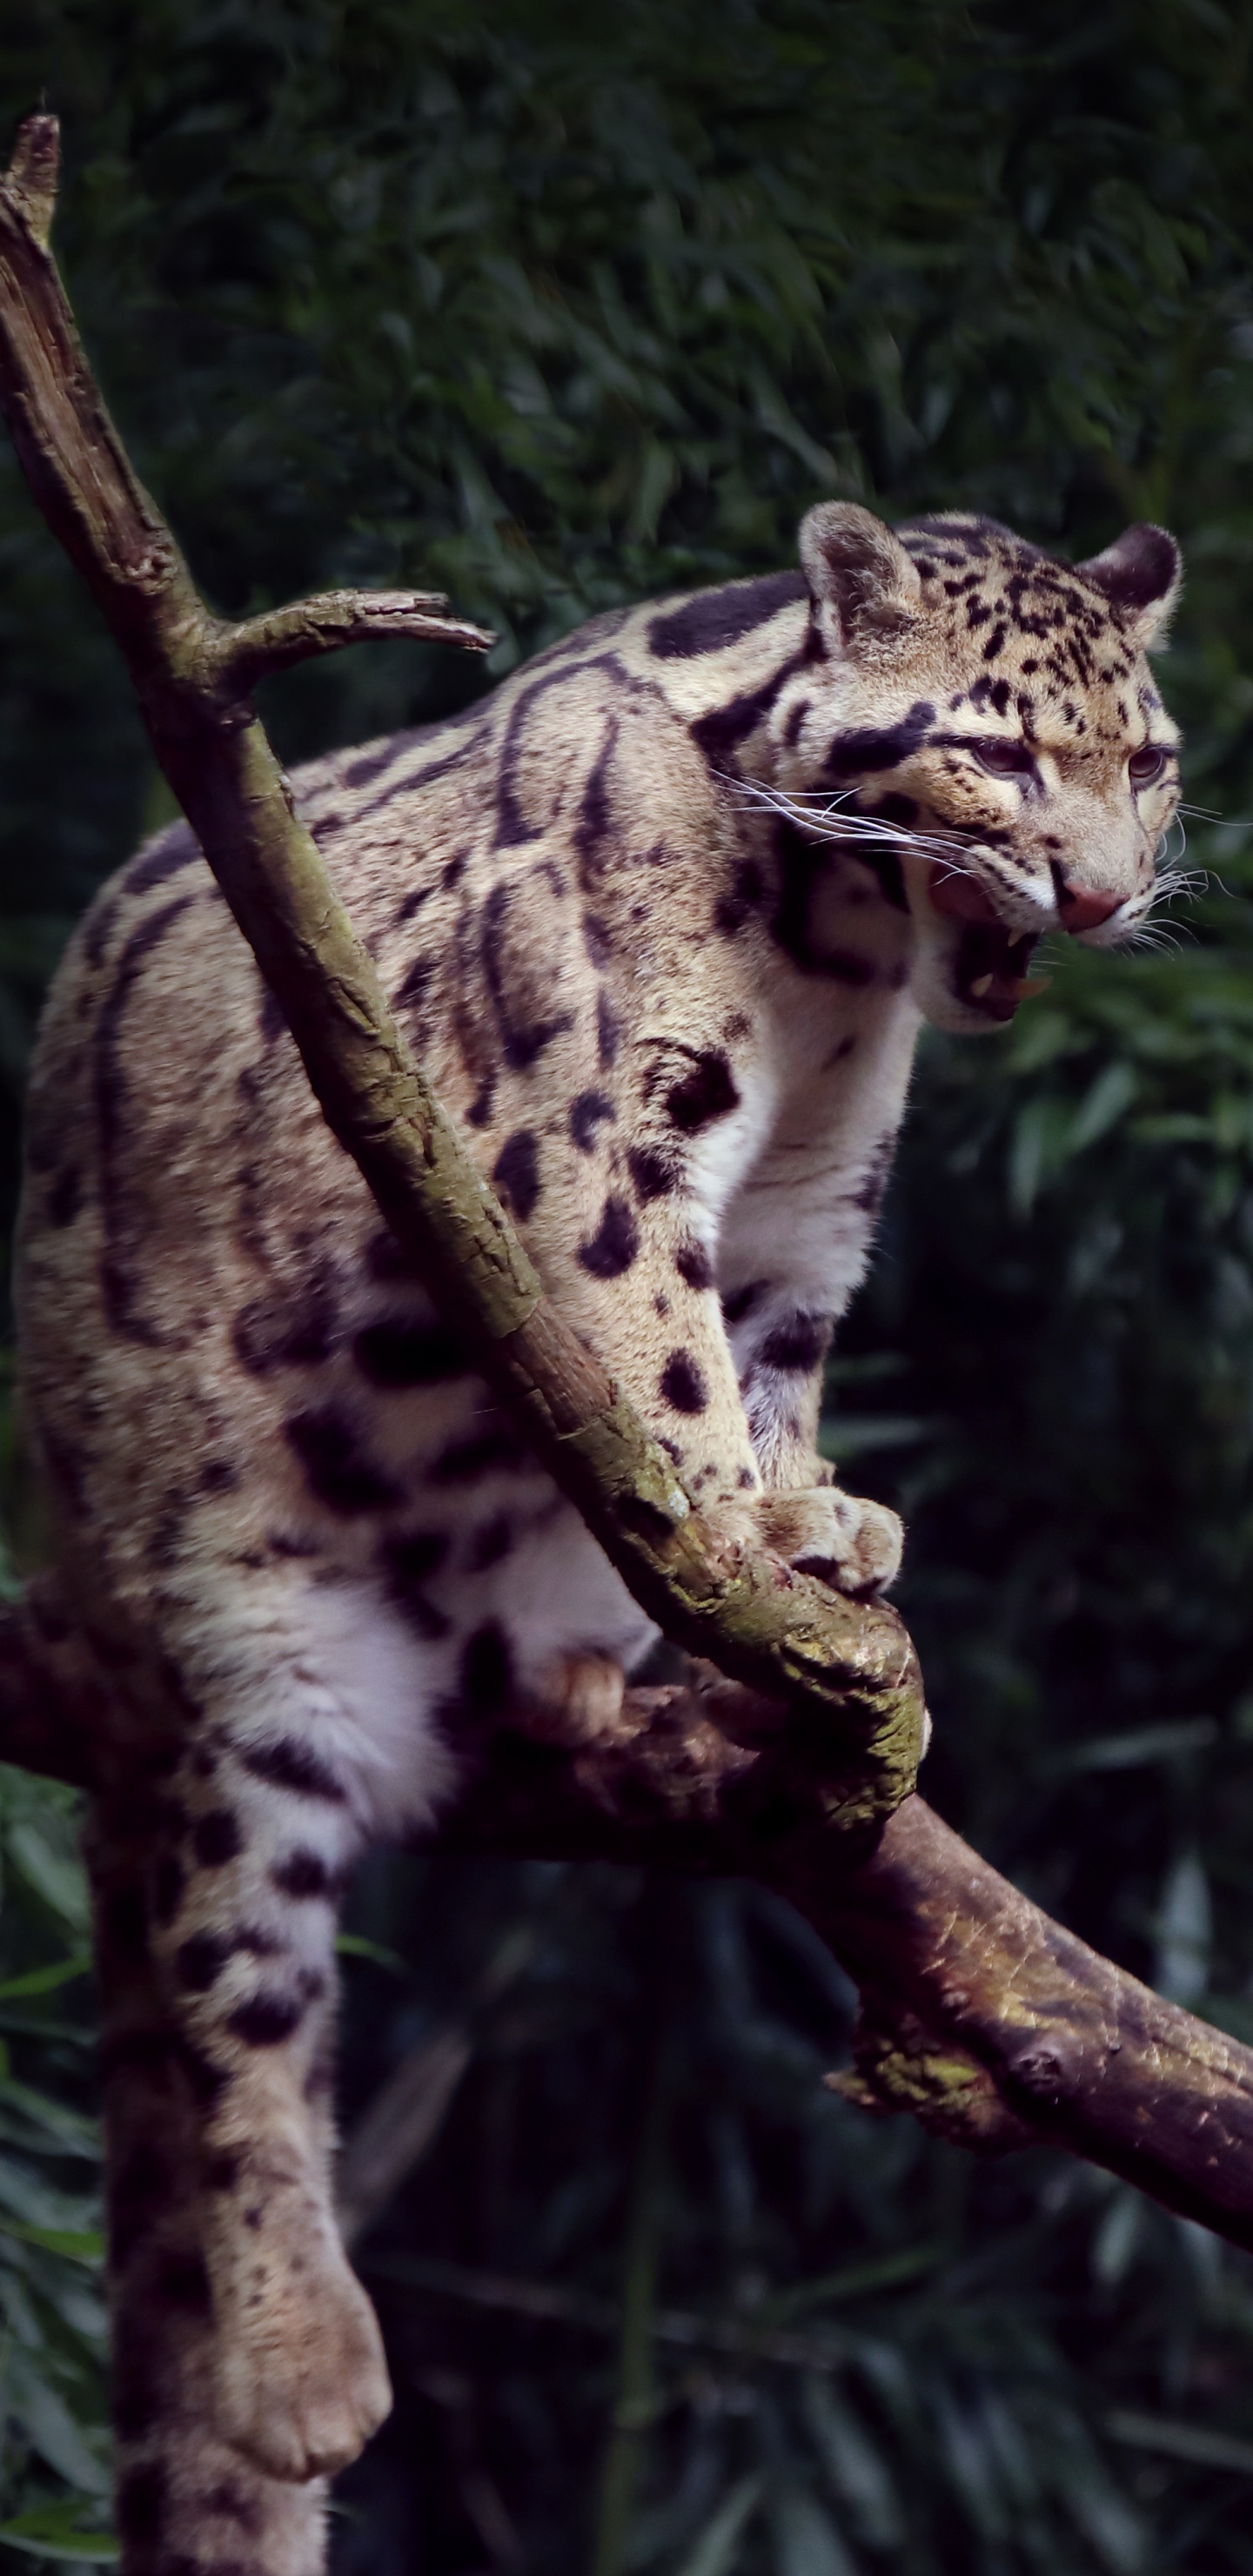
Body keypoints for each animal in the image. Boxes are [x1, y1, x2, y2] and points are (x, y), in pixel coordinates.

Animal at [14, 497, 1181, 2555]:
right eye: (1002, 751)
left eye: (1154, 760)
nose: (1108, 900)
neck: (836, 962)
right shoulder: (587, 1135)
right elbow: (661, 1347)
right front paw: (753, 1540)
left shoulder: (814, 1200)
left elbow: (770, 1358)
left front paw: (811, 1524)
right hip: (251, 1656)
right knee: (236, 1993)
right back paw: (306, 2361)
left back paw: (570, 1670)